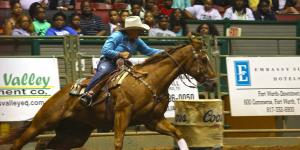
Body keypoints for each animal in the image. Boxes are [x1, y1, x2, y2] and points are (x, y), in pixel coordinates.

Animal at [0, 41, 216, 149]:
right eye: (204, 59)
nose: (213, 82)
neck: (150, 80)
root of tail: (60, 93)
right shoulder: (122, 114)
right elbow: (118, 142)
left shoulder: (153, 120)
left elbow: (178, 134)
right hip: (43, 122)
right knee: (19, 142)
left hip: (74, 134)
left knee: (45, 145)